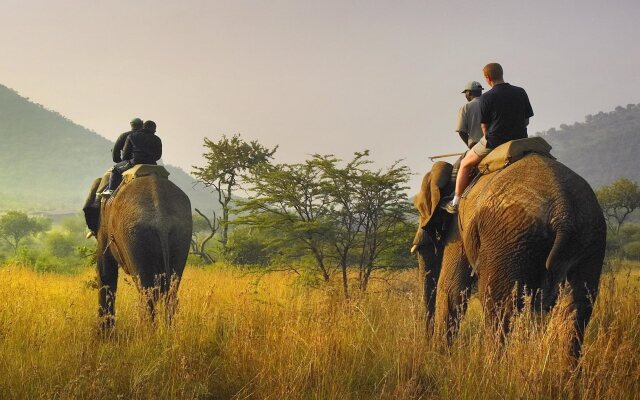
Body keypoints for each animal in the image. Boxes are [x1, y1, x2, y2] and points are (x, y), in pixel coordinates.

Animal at [84, 168, 192, 332]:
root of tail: (161, 221)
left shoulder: (103, 226)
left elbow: (105, 272)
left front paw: (104, 334)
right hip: (181, 234)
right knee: (171, 291)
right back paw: (167, 332)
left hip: (135, 236)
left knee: (146, 292)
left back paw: (147, 333)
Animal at [412, 154, 608, 360]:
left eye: (419, 207)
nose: (427, 346)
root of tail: (564, 214)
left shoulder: (458, 226)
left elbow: (451, 288)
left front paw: (439, 357)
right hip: (589, 236)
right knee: (576, 304)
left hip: (510, 237)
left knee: (498, 304)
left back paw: (492, 365)